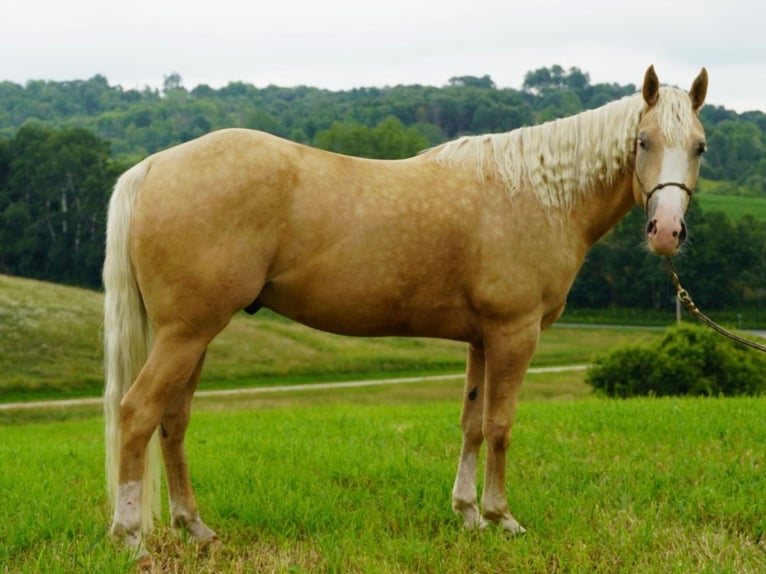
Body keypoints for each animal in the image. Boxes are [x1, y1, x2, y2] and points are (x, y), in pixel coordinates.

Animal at [103, 65, 708, 554]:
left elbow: (471, 424)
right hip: (186, 333)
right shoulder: (514, 334)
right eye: (643, 140)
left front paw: (468, 515)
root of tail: (152, 166)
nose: (666, 231)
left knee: (173, 422)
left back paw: (194, 528)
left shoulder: (481, 339)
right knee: (137, 413)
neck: (537, 193)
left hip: (192, 336)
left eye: (700, 146)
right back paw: (131, 538)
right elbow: (500, 425)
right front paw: (501, 517)